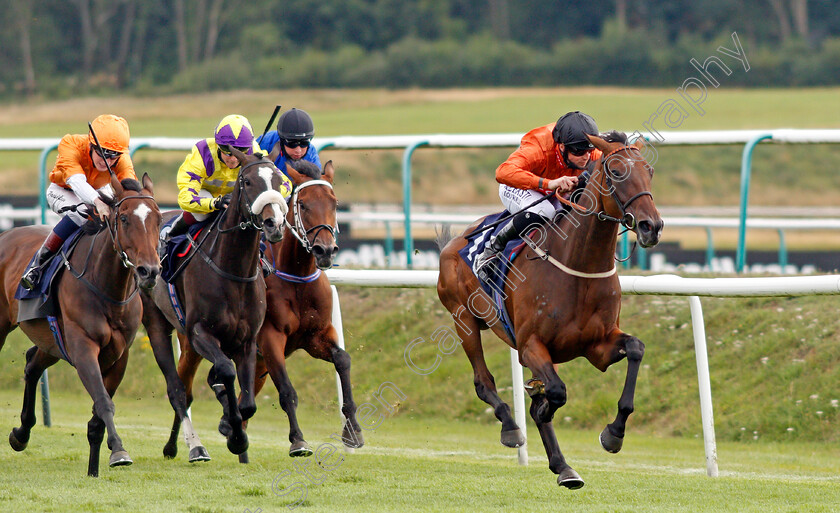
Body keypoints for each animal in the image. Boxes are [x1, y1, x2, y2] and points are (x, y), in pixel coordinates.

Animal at [0, 173, 161, 476]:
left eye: (158, 218)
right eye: (124, 218)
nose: (150, 271)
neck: (108, 289)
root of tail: (6, 234)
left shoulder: (119, 356)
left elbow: (98, 415)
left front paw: (95, 468)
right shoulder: (84, 347)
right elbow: (103, 401)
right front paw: (119, 450)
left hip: (52, 342)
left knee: (32, 365)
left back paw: (21, 434)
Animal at [143, 147, 288, 460]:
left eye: (279, 180)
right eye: (247, 182)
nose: (274, 224)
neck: (233, 270)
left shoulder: (247, 340)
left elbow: (247, 402)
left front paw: (237, 435)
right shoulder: (201, 332)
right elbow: (227, 371)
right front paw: (235, 435)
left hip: (187, 340)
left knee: (189, 386)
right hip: (160, 324)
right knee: (178, 390)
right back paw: (190, 446)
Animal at [436, 133, 668, 488]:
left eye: (650, 171)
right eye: (616, 171)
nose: (651, 226)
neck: (578, 268)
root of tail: (453, 242)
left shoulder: (598, 347)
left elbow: (636, 348)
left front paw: (613, 434)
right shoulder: (530, 346)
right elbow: (556, 393)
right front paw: (542, 408)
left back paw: (564, 466)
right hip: (463, 319)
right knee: (483, 382)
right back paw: (511, 428)